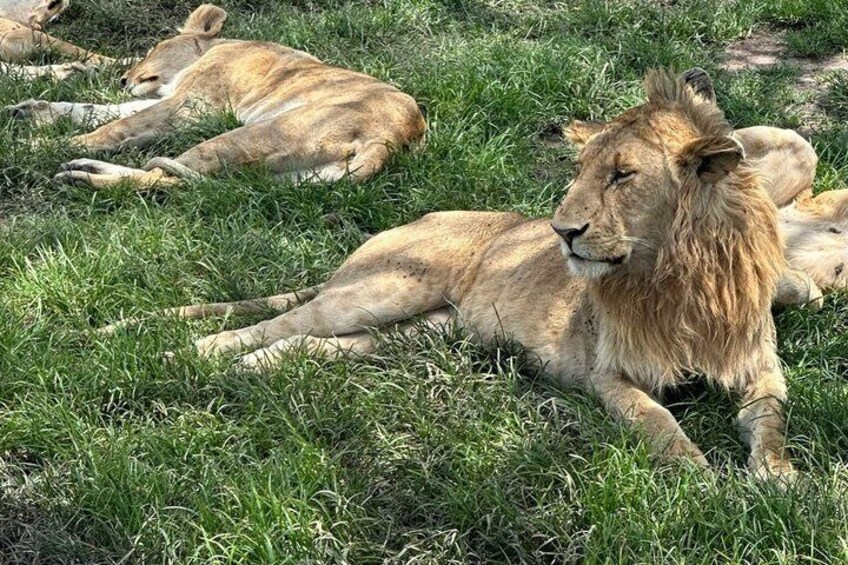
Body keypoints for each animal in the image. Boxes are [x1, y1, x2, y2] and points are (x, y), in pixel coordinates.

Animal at [8, 4, 426, 187]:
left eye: (153, 47)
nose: (123, 78)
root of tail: (393, 138)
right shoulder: (172, 99)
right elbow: (101, 110)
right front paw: (29, 110)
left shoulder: (193, 107)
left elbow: (119, 125)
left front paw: (40, 144)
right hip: (287, 177)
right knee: (182, 182)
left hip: (246, 134)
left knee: (163, 177)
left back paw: (81, 174)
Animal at [102, 70, 797, 480]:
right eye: (581, 170)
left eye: (622, 175)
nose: (561, 231)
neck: (683, 277)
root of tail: (414, 219)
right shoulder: (609, 376)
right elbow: (660, 423)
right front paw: (701, 476)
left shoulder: (760, 369)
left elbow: (772, 423)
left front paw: (778, 480)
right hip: (386, 288)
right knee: (278, 321)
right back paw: (187, 355)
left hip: (418, 330)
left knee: (311, 344)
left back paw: (250, 369)